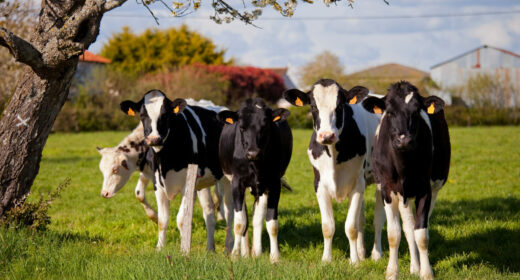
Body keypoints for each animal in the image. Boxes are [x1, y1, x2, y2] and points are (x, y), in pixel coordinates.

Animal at [120, 90, 234, 252]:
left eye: (166, 114)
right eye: (142, 115)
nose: (154, 139)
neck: (165, 162)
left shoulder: (188, 185)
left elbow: (181, 219)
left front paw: (183, 250)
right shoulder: (157, 184)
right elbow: (162, 220)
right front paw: (159, 248)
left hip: (227, 178)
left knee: (230, 213)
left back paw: (228, 249)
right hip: (203, 183)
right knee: (209, 212)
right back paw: (210, 249)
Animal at [215, 98, 292, 262]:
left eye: (265, 126)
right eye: (241, 127)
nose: (253, 152)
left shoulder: (274, 184)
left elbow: (271, 223)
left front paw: (275, 257)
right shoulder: (237, 183)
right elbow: (240, 222)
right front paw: (235, 255)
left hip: (261, 189)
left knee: (257, 218)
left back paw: (255, 252)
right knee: (243, 217)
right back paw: (245, 253)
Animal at [282, 79, 380, 264]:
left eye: (340, 105)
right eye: (313, 106)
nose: (327, 136)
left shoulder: (357, 184)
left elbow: (351, 226)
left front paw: (354, 261)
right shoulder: (319, 185)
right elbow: (328, 226)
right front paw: (327, 259)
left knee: (379, 218)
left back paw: (376, 254)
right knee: (361, 219)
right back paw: (362, 252)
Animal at [362, 81, 450, 280]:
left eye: (417, 111)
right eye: (389, 111)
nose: (404, 140)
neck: (403, 166)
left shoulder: (425, 190)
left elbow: (422, 235)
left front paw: (426, 272)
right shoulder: (387, 190)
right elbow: (394, 234)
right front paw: (392, 271)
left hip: (432, 189)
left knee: (416, 228)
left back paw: (416, 267)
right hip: (401, 195)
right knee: (408, 228)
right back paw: (414, 266)